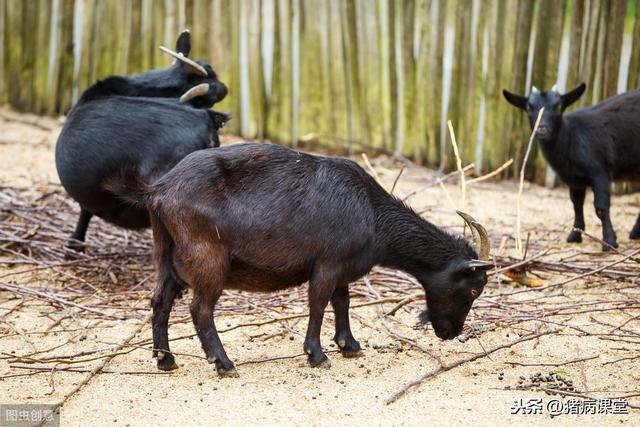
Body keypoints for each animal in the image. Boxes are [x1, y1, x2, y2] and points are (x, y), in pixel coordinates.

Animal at [115, 145, 492, 378]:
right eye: (474, 290)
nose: (450, 333)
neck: (372, 213)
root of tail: (158, 190)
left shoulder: (342, 270)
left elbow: (342, 302)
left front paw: (349, 346)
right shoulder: (326, 264)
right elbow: (319, 303)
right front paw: (317, 354)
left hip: (167, 255)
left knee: (160, 301)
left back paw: (165, 360)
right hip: (208, 258)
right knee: (200, 308)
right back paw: (223, 363)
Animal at [502, 83, 640, 251]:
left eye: (558, 107)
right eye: (529, 107)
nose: (541, 129)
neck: (572, 137)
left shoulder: (600, 172)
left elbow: (601, 207)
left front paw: (609, 242)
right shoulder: (574, 179)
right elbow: (576, 205)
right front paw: (575, 235)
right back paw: (635, 232)